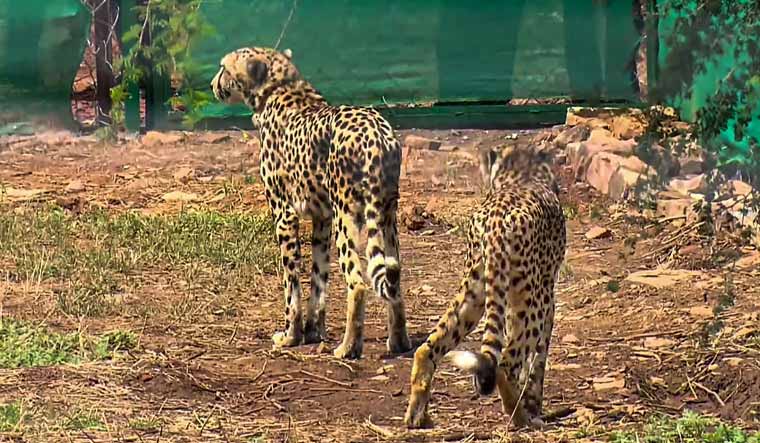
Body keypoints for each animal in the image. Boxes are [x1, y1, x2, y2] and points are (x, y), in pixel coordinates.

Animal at [211, 46, 412, 360]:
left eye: (224, 68)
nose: (212, 84)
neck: (279, 88)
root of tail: (376, 132)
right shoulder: (322, 218)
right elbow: (318, 279)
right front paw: (313, 331)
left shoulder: (284, 214)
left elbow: (291, 282)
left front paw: (290, 336)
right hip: (387, 215)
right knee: (394, 278)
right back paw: (399, 341)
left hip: (347, 215)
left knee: (358, 282)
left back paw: (348, 348)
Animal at [404, 145, 564, 430]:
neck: (521, 175)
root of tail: (497, 221)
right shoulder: (547, 294)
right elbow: (539, 358)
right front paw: (534, 403)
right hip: (530, 299)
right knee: (506, 362)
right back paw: (520, 418)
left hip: (475, 292)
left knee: (427, 348)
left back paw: (417, 416)